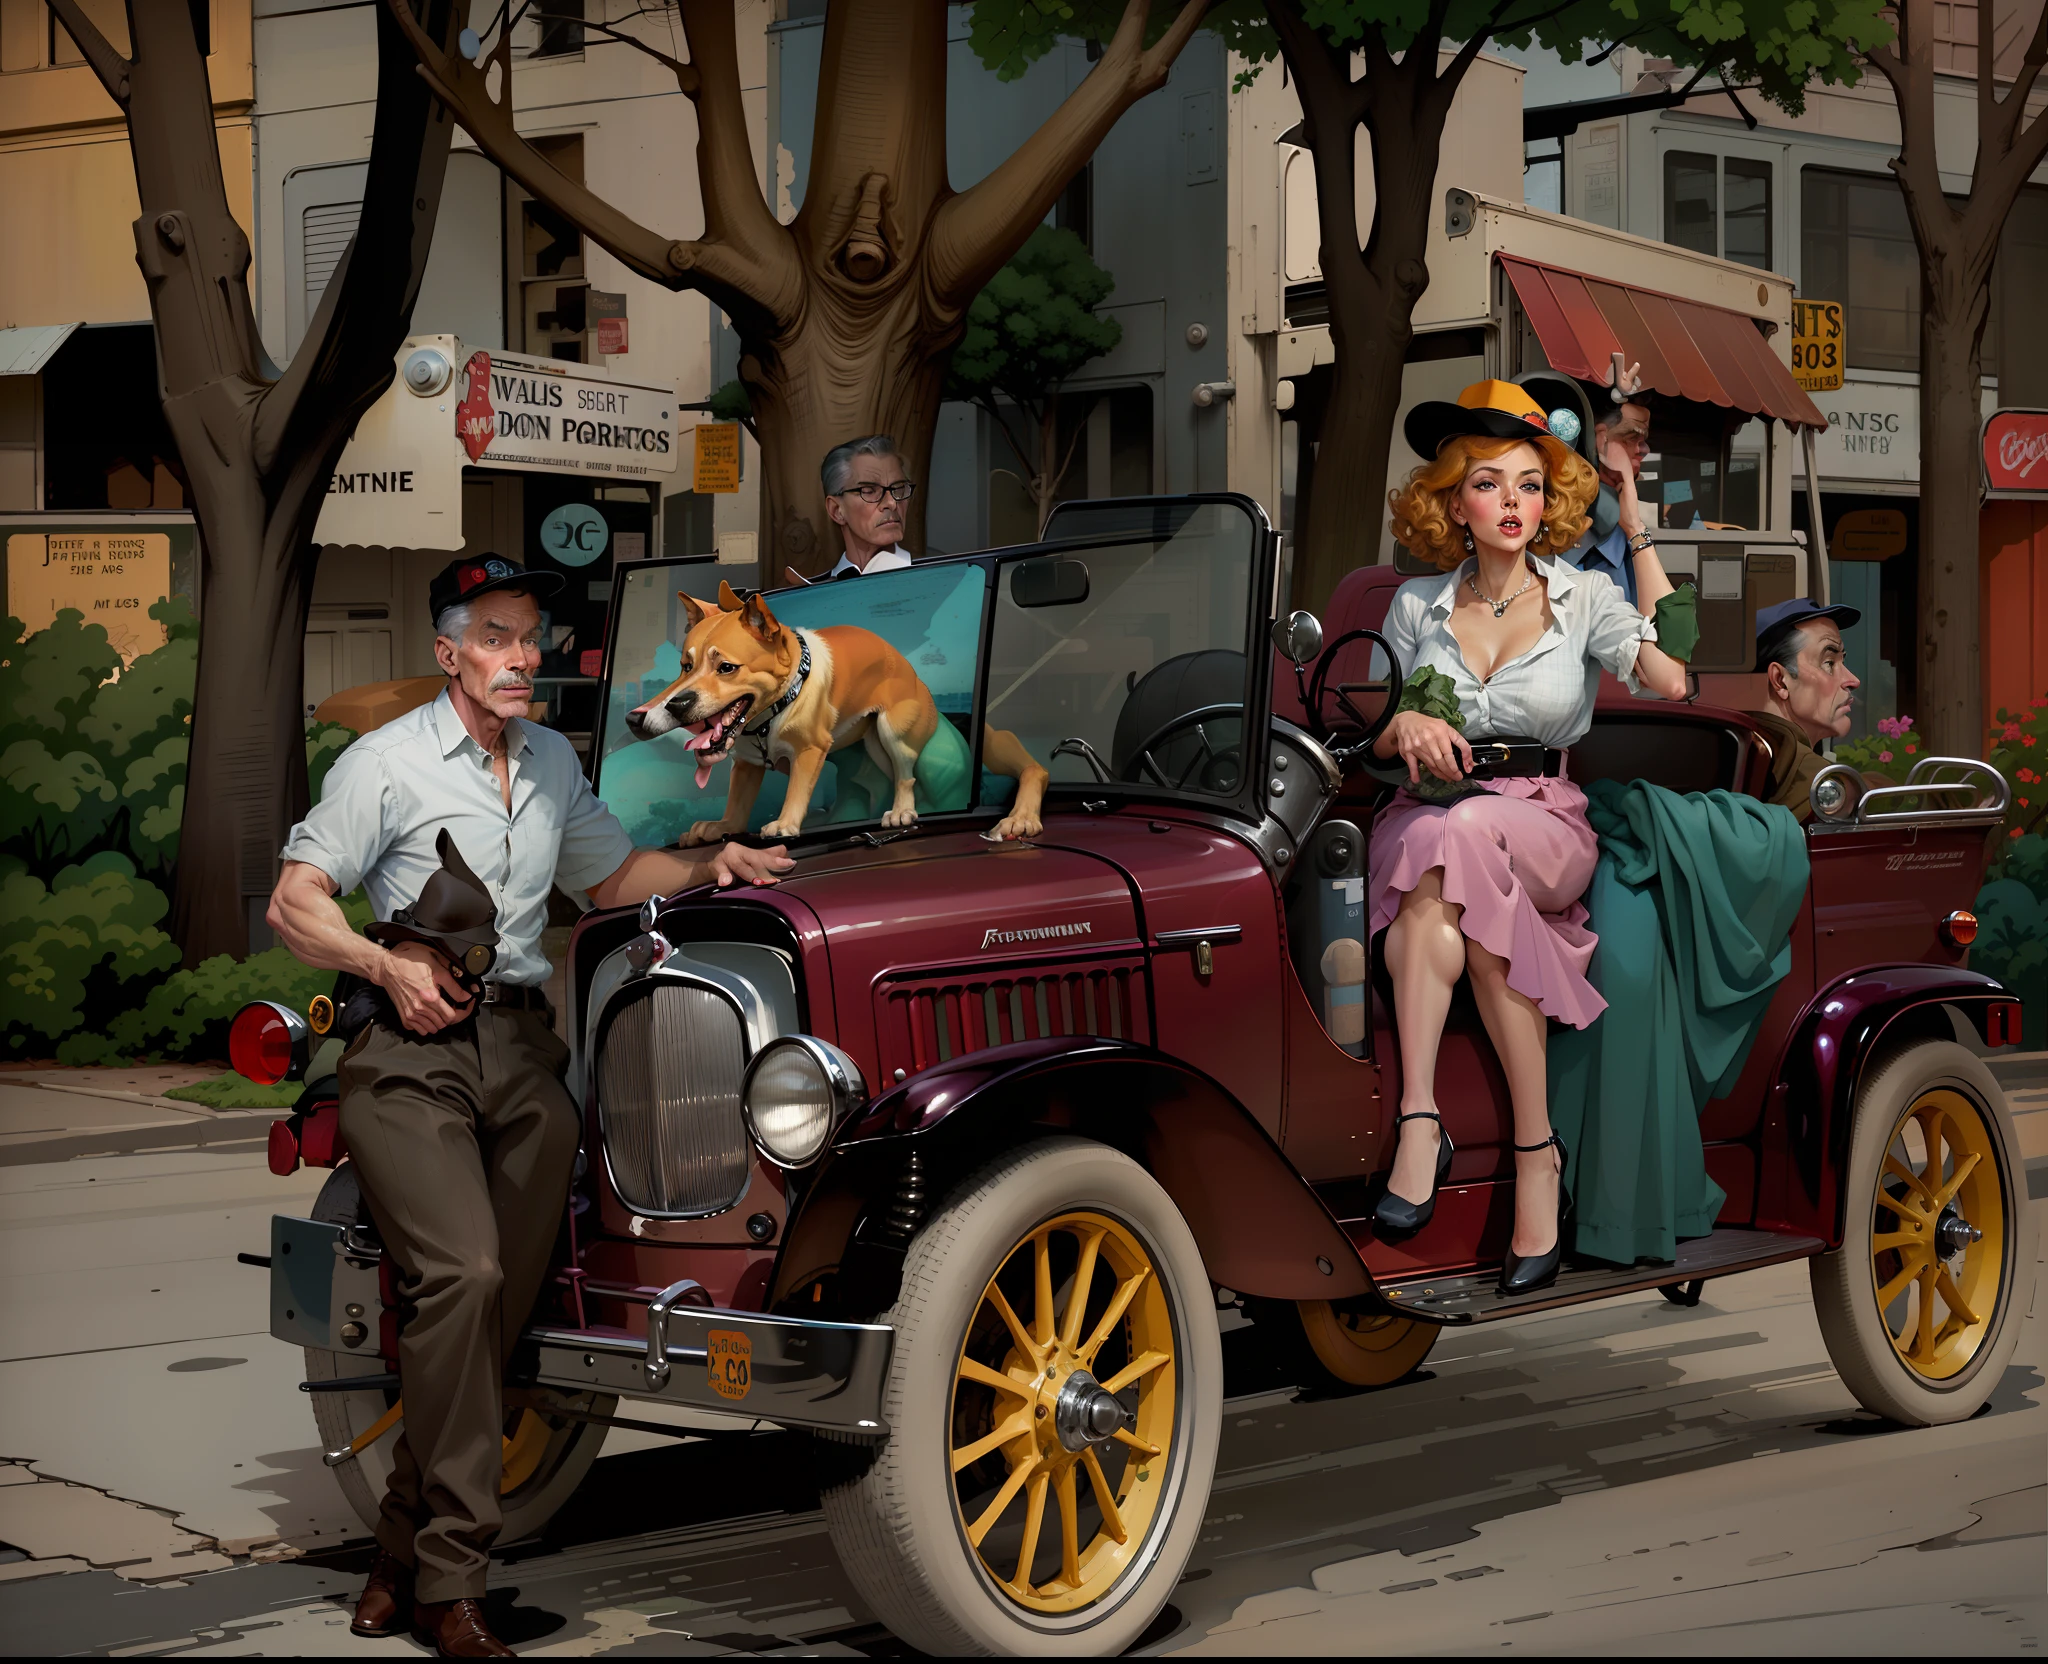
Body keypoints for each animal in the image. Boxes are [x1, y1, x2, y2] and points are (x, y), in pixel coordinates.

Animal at [618, 586, 1040, 844]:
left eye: (727, 668)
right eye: (685, 666)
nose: (677, 704)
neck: (770, 715)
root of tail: (910, 669)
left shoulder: (810, 751)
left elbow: (796, 790)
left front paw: (785, 824)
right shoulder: (748, 764)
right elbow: (737, 806)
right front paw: (720, 826)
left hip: (894, 732)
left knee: (906, 776)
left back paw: (902, 812)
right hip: (872, 747)